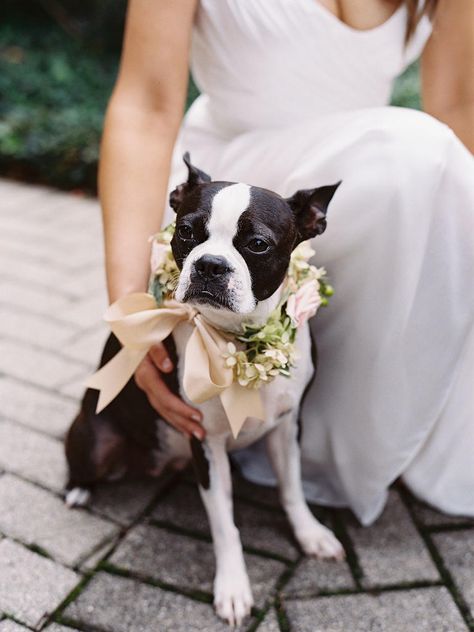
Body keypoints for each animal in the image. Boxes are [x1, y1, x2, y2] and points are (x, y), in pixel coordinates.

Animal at [65, 154, 342, 628]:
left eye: (257, 244)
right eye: (187, 232)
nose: (210, 264)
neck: (239, 341)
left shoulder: (287, 427)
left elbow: (292, 488)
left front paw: (310, 534)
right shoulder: (205, 441)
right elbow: (224, 524)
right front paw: (232, 589)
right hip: (95, 440)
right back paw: (79, 490)